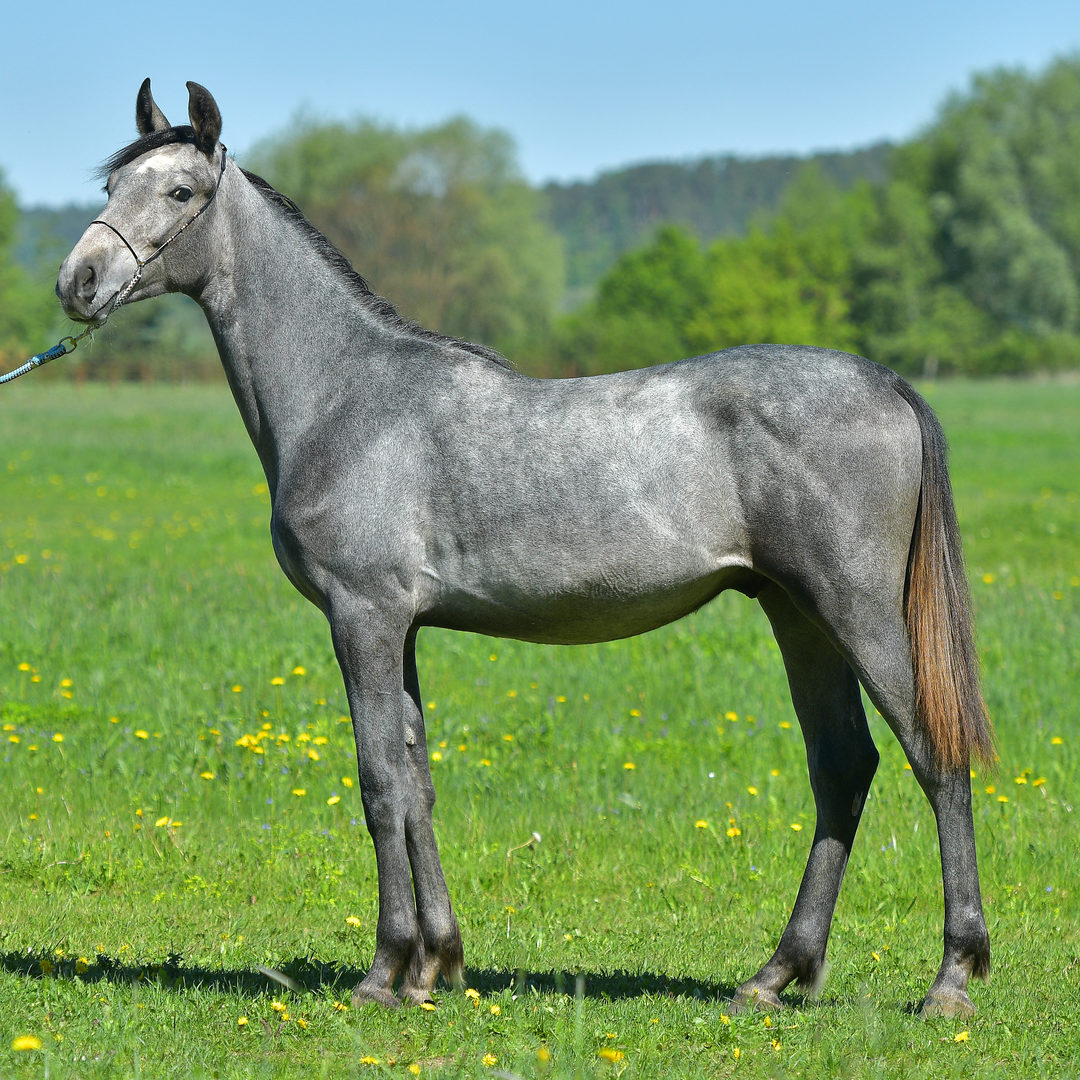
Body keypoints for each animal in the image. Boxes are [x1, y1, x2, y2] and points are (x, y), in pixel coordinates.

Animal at [56, 80, 994, 1017]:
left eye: (180, 192)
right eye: (111, 187)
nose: (79, 281)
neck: (348, 395)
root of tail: (888, 383)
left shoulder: (363, 616)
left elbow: (378, 782)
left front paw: (383, 971)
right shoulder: (404, 628)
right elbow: (418, 783)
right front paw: (435, 965)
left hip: (854, 612)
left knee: (933, 759)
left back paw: (950, 978)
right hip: (797, 615)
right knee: (842, 767)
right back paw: (774, 975)